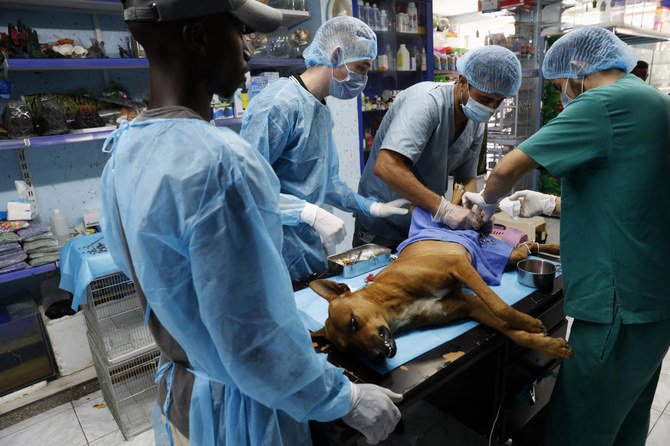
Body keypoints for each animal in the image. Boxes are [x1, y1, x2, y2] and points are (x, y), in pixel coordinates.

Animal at [312, 186, 576, 364]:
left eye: (353, 322)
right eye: (349, 350)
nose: (377, 356)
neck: (392, 297)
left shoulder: (458, 265)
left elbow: (500, 307)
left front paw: (528, 322)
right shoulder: (470, 305)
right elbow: (507, 329)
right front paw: (547, 344)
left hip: (493, 250)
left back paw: (459, 196)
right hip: (510, 257)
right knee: (529, 246)